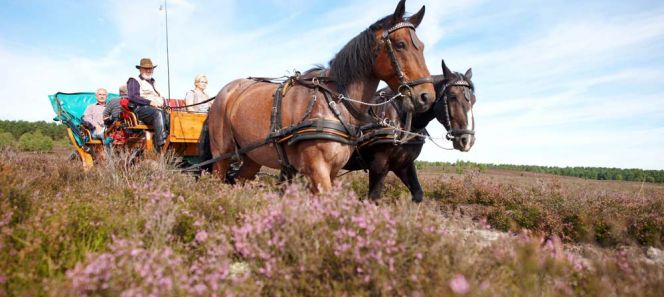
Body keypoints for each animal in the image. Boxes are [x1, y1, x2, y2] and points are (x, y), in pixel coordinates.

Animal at [198, 0, 436, 193]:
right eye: (401, 44)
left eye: (423, 47)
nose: (426, 96)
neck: (334, 101)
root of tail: (225, 92)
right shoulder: (317, 170)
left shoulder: (332, 170)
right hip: (222, 154)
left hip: (251, 158)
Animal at [342, 58, 478, 201]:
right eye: (452, 96)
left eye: (474, 100)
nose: (467, 140)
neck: (401, 119)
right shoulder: (378, 165)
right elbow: (373, 198)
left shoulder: (404, 165)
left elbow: (418, 193)